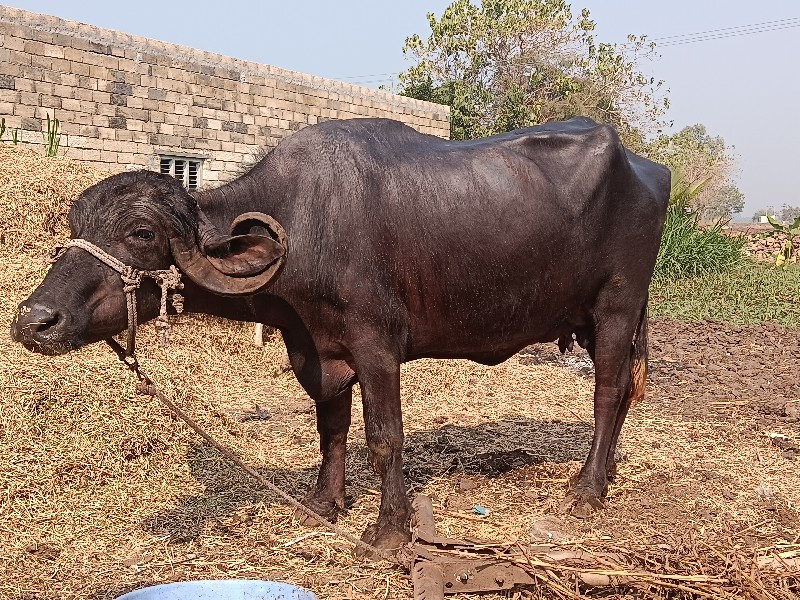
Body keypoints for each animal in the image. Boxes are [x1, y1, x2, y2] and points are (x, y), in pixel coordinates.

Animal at [10, 117, 668, 552]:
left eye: (142, 234)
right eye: (74, 223)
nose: (34, 320)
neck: (305, 226)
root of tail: (648, 168)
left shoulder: (376, 347)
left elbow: (384, 437)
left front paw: (388, 530)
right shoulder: (316, 349)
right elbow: (331, 429)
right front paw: (325, 504)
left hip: (615, 309)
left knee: (609, 393)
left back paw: (586, 489)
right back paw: (603, 475)